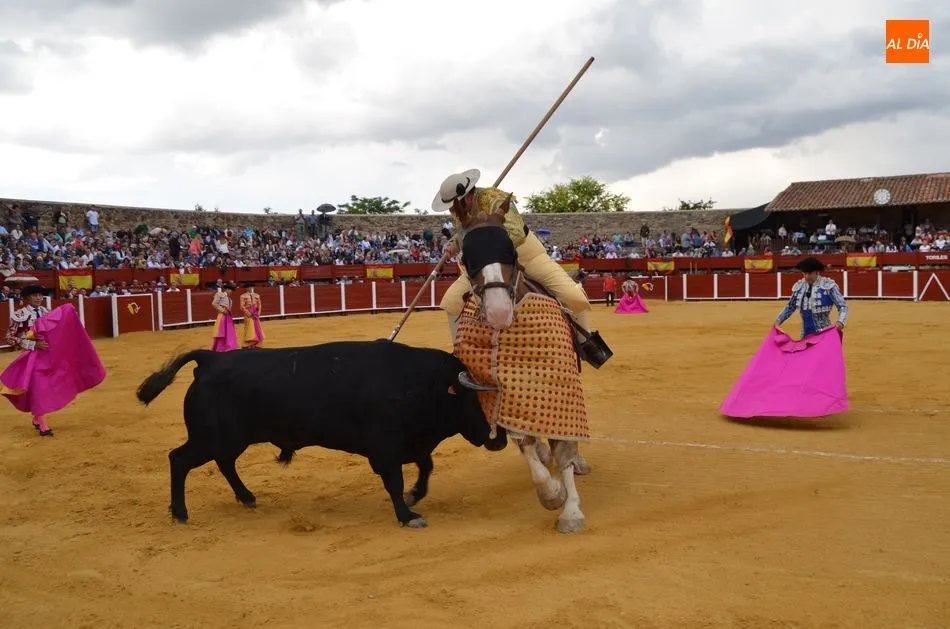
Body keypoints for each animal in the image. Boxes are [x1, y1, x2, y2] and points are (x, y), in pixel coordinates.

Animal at [135, 339, 506, 529]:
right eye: (476, 400)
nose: (500, 438)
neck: (421, 385)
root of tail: (210, 360)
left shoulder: (411, 443)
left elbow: (426, 467)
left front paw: (415, 496)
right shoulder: (385, 448)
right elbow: (395, 482)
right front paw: (407, 515)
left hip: (229, 439)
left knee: (224, 463)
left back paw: (247, 497)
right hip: (212, 438)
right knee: (179, 459)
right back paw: (180, 513)